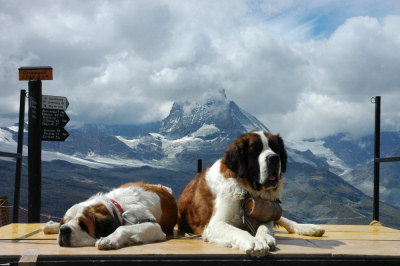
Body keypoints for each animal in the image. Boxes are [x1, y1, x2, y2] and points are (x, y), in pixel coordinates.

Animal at [43, 181, 177, 249]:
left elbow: (122, 228)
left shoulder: (153, 226)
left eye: (83, 225)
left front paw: (109, 239)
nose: (64, 229)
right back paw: (51, 226)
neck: (117, 207)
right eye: (65, 222)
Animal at [178, 130, 324, 256]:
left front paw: (264, 238)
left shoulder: (266, 212)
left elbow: (265, 227)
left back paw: (310, 228)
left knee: (283, 219)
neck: (246, 190)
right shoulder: (215, 225)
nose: (274, 158)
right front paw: (254, 241)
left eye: (276, 148)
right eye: (255, 150)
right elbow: (238, 231)